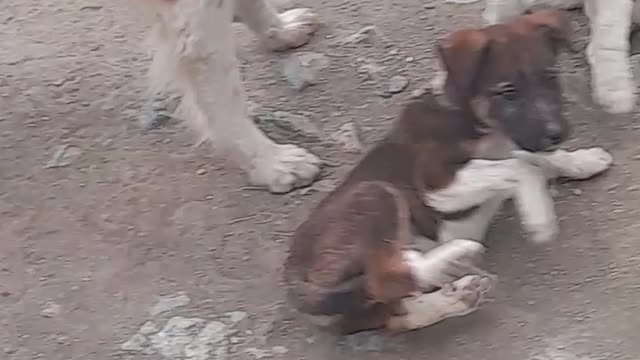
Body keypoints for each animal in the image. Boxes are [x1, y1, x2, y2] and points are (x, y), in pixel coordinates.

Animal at [282, 9, 612, 336]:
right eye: (508, 92)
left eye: (551, 77)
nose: (558, 134)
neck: (474, 117)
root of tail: (291, 277)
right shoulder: (436, 183)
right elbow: (521, 164)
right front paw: (539, 213)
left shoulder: (514, 144)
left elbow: (532, 157)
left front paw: (581, 160)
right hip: (376, 194)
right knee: (384, 279)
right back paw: (448, 261)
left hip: (362, 304)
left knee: (396, 312)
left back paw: (458, 292)